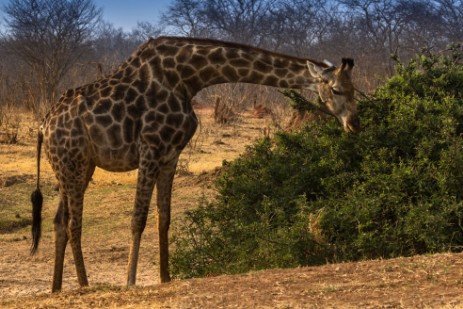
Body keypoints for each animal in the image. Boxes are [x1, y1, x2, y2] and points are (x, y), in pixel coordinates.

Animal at [29, 36, 362, 292]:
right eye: (335, 89)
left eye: (354, 89)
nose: (354, 124)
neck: (189, 78)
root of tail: (44, 126)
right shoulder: (150, 150)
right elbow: (138, 218)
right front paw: (130, 282)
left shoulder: (170, 156)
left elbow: (164, 218)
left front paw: (165, 277)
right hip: (73, 164)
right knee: (73, 223)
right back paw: (84, 285)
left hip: (76, 167)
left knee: (59, 221)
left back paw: (56, 288)